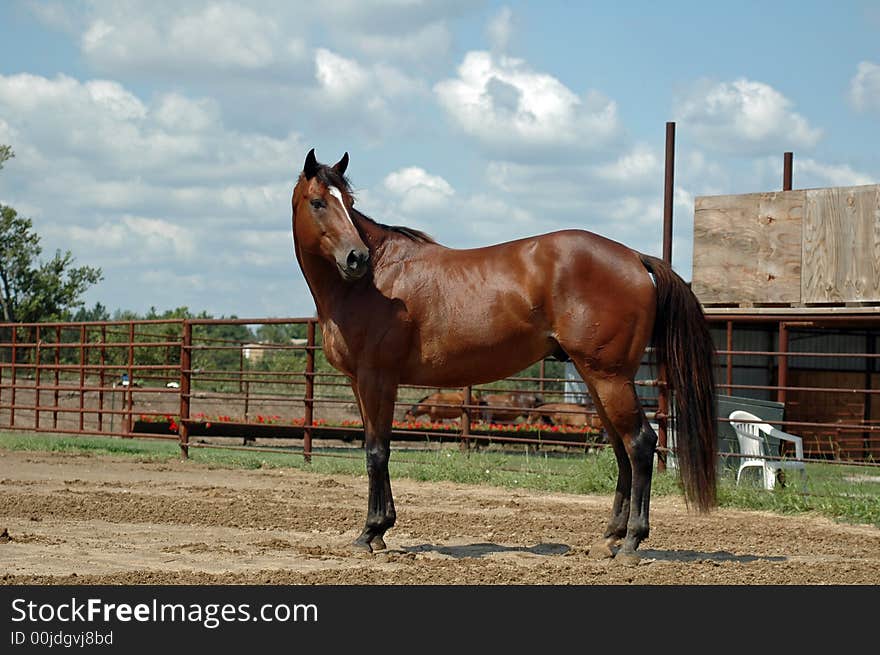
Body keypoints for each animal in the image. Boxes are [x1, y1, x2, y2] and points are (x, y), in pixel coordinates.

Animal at [292, 149, 720, 564]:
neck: (374, 281)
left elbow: (377, 451)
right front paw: (380, 531)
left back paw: (631, 543)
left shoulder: (377, 377)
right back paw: (608, 539)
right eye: (318, 202)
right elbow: (376, 447)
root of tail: (634, 257)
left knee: (640, 444)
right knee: (621, 449)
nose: (356, 258)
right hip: (599, 378)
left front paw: (370, 533)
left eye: (349, 203)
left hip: (609, 377)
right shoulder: (360, 381)